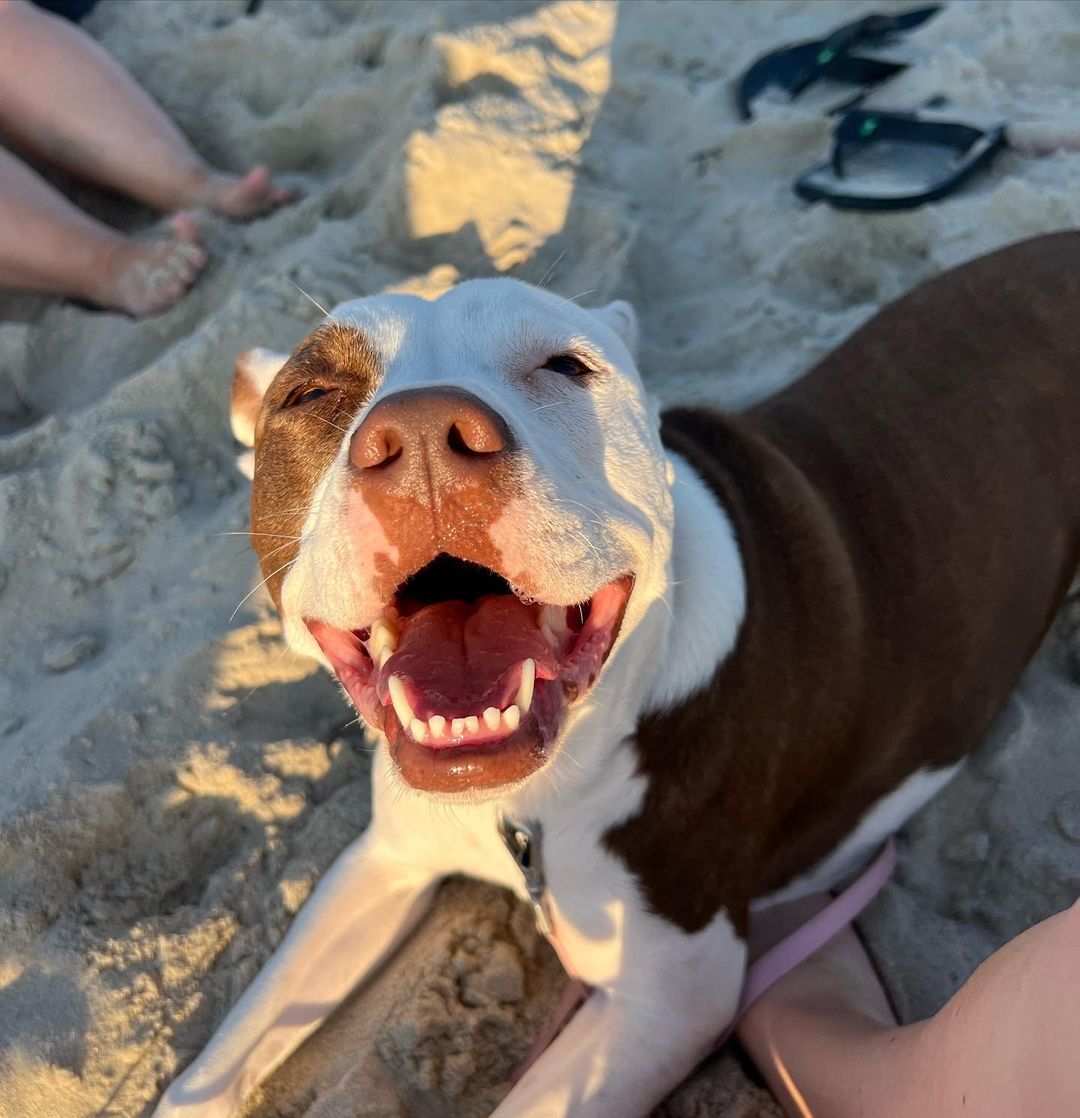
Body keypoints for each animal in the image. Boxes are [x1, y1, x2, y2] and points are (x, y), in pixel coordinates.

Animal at [152, 231, 1080, 1113]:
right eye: (309, 395)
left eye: (565, 365)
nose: (420, 437)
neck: (536, 797)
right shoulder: (383, 860)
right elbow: (208, 1072)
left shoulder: (668, 1003)